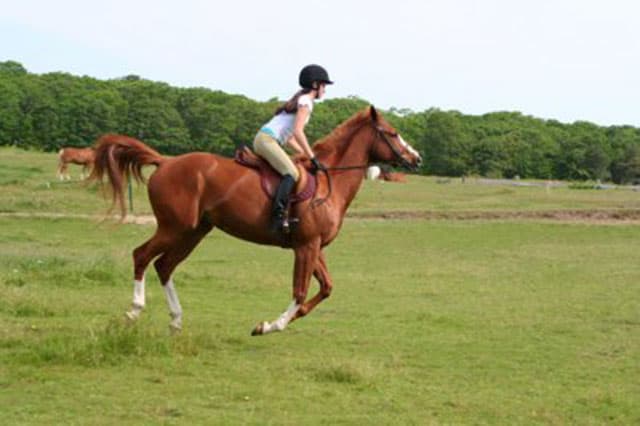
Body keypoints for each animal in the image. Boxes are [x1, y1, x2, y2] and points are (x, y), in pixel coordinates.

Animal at [90, 106, 422, 335]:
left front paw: (280, 321)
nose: (416, 158)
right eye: (392, 133)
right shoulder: (306, 246)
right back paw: (134, 311)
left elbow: (325, 288)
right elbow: (300, 292)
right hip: (174, 227)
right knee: (142, 256)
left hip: (194, 232)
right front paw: (269, 326)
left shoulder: (313, 246)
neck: (330, 183)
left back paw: (176, 321)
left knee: (164, 266)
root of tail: (166, 162)